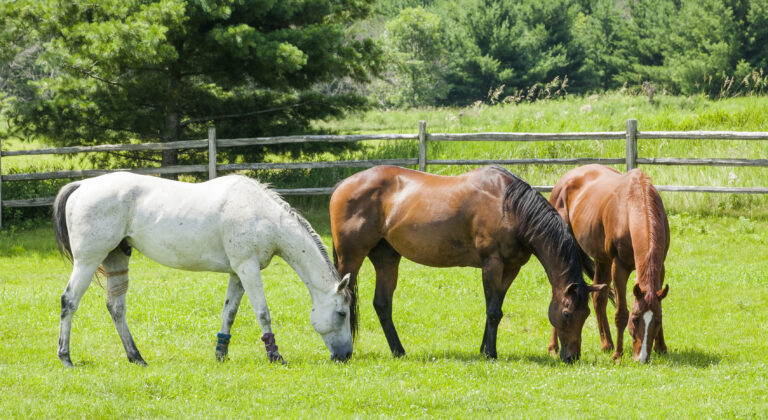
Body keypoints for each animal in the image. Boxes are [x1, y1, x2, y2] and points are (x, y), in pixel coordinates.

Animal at [52, 172, 352, 366]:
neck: (263, 216)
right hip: (88, 260)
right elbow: (263, 313)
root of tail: (83, 185)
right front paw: (275, 356)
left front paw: (221, 354)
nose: (346, 355)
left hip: (116, 259)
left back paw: (136, 357)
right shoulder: (248, 268)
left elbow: (229, 313)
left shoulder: (238, 273)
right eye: (342, 313)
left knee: (116, 308)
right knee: (69, 301)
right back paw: (66, 357)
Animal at [330, 166, 608, 362]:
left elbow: (496, 309)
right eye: (566, 313)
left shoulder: (511, 269)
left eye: (586, 314)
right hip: (351, 258)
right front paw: (491, 353)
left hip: (386, 259)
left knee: (383, 305)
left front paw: (485, 349)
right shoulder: (492, 264)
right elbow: (493, 310)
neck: (510, 207)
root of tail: (342, 186)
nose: (572, 357)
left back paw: (399, 351)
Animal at [548, 165, 668, 364]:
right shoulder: (619, 267)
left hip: (601, 260)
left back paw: (607, 343)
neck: (632, 206)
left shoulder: (660, 268)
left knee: (599, 298)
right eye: (635, 319)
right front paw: (618, 355)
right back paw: (553, 347)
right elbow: (621, 314)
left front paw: (661, 347)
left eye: (657, 321)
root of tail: (565, 179)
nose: (641, 358)